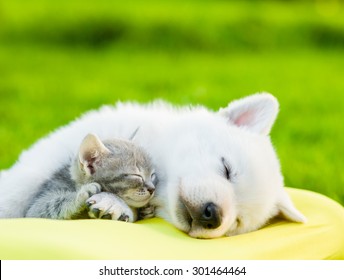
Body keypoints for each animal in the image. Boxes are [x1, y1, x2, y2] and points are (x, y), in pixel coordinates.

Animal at [24, 132, 157, 222]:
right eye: (136, 175)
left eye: (152, 175)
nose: (152, 189)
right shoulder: (38, 204)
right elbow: (46, 207)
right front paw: (79, 196)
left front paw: (145, 211)